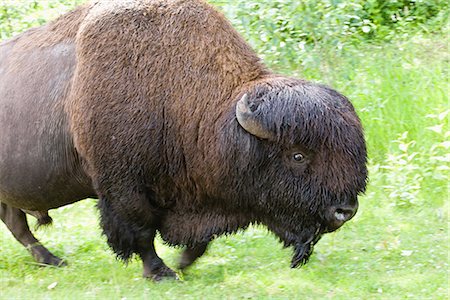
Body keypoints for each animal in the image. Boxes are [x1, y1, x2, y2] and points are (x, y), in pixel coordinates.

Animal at [0, 0, 366, 282]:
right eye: (297, 156)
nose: (345, 211)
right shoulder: (124, 187)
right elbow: (142, 231)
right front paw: (161, 272)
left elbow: (201, 239)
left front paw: (183, 262)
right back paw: (54, 260)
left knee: (16, 223)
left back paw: (52, 261)